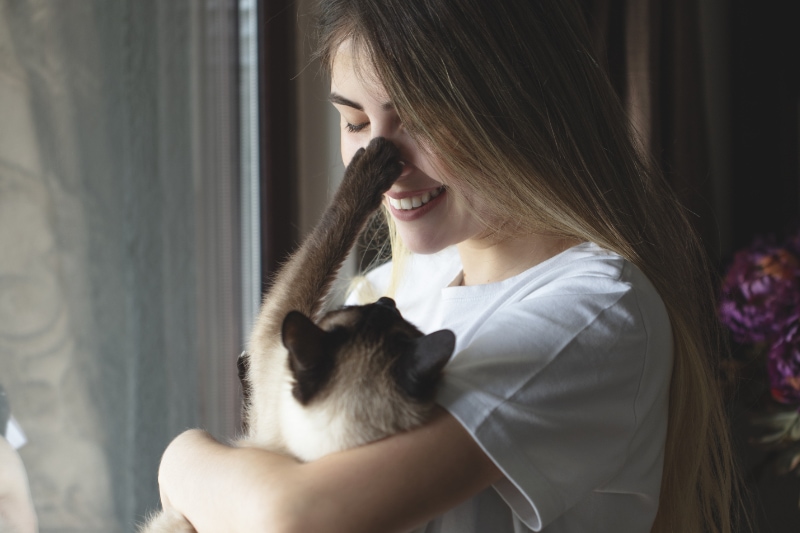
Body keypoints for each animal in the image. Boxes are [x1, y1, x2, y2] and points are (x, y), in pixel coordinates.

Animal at [141, 138, 456, 532]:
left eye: (342, 314)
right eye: (388, 314)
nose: (386, 301)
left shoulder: (277, 328)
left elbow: (321, 246)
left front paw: (372, 162)